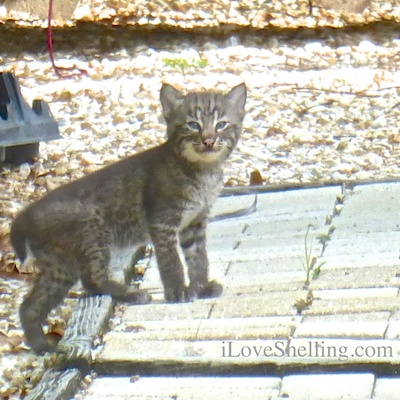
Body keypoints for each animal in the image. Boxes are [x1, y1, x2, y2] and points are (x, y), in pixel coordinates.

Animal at [10, 81, 247, 354]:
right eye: (193, 125)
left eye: (221, 124)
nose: (208, 141)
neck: (203, 169)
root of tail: (26, 212)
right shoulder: (163, 222)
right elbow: (172, 261)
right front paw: (178, 292)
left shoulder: (194, 223)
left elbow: (199, 258)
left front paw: (201, 286)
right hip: (94, 232)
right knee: (91, 280)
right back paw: (131, 294)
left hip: (59, 267)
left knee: (29, 305)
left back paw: (41, 345)